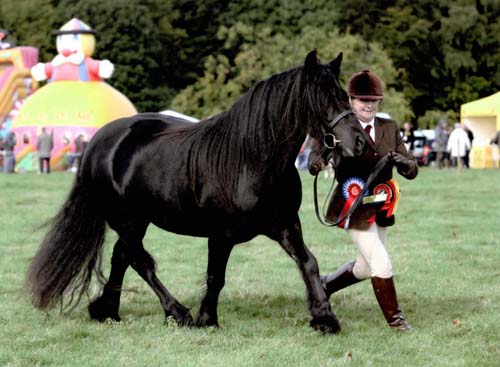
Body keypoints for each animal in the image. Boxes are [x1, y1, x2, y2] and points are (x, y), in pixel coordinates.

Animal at [25, 50, 368, 334]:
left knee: (122, 257)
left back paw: (108, 311)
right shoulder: (221, 234)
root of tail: (99, 141)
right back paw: (176, 312)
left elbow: (309, 263)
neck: (251, 160)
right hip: (127, 220)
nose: (360, 142)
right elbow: (216, 276)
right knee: (139, 261)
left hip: (137, 221)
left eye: (344, 95)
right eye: (321, 98)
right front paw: (207, 318)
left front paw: (325, 317)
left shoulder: (284, 225)